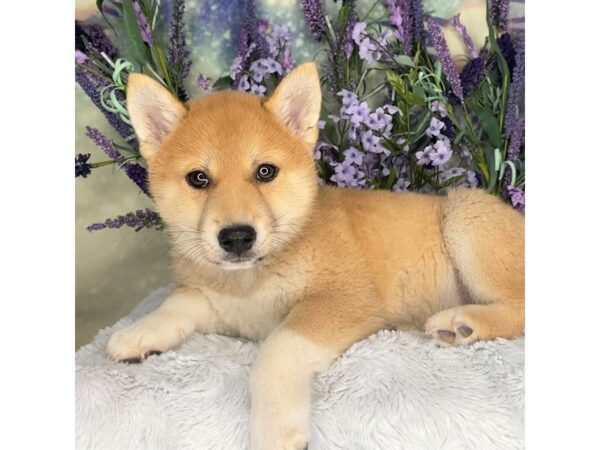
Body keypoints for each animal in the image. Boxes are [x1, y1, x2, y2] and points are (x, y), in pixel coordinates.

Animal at [108, 61, 524, 448]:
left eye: (265, 172)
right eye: (198, 178)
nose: (237, 237)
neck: (253, 279)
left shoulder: (341, 302)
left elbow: (275, 353)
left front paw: (274, 432)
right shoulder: (224, 306)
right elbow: (180, 301)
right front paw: (139, 333)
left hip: (465, 215)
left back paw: (462, 322)